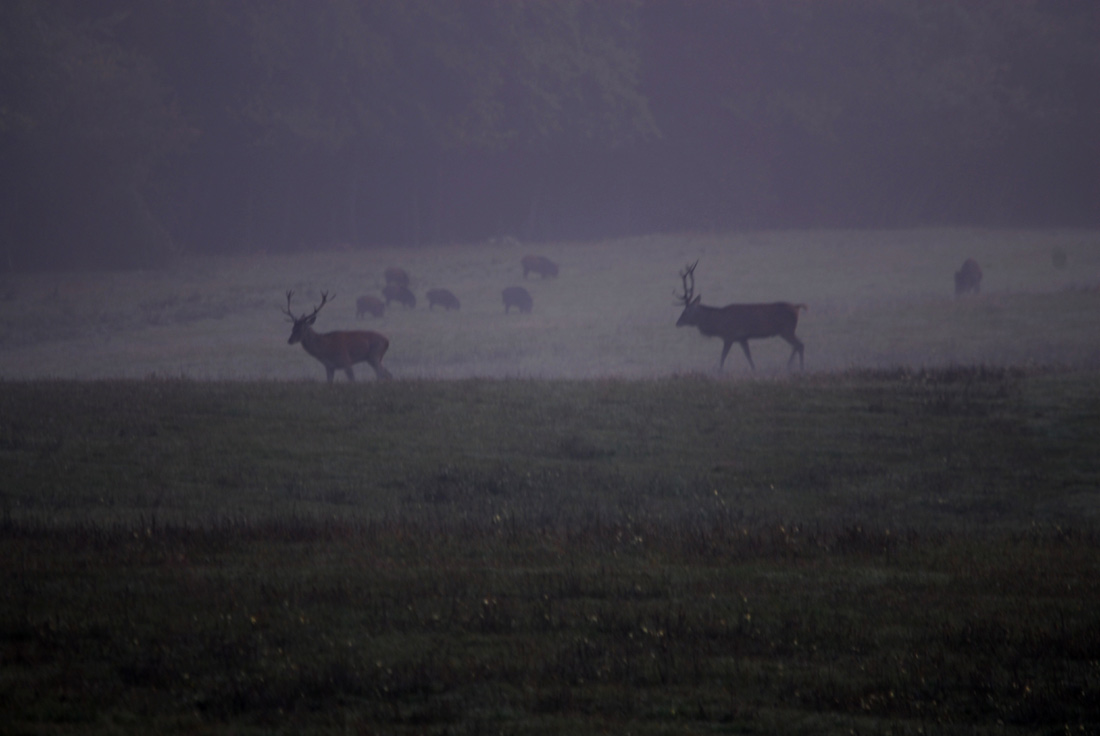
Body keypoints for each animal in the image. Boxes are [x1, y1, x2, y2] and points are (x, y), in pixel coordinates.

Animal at [673, 260, 805, 369]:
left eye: (687, 311)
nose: (677, 323)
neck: (718, 322)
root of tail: (797, 307)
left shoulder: (729, 336)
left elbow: (723, 357)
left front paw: (719, 372)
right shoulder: (742, 338)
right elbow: (748, 356)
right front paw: (754, 370)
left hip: (786, 329)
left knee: (800, 345)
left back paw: (797, 367)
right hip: (786, 330)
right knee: (797, 345)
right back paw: (790, 366)